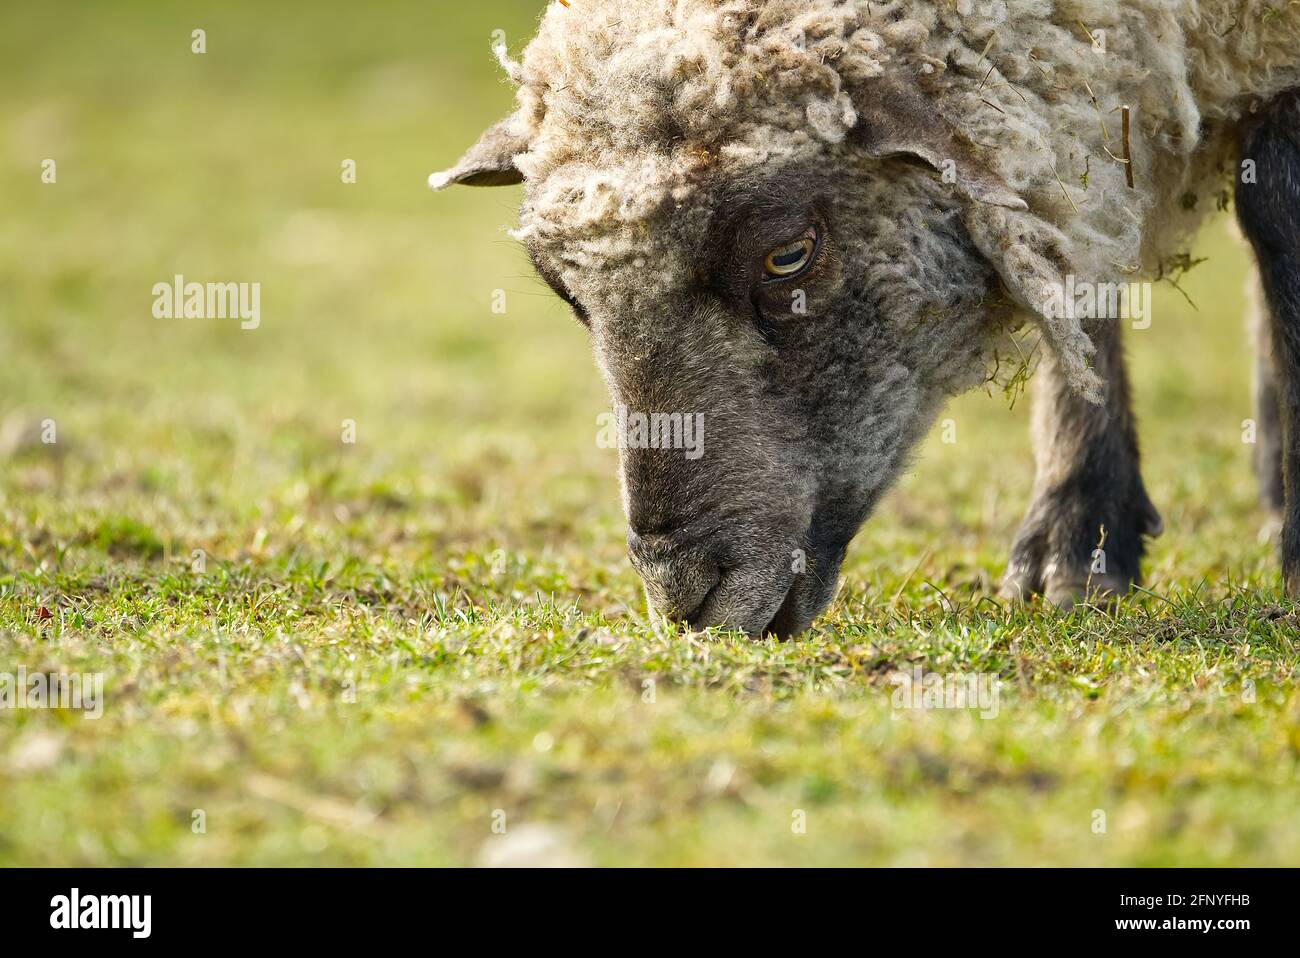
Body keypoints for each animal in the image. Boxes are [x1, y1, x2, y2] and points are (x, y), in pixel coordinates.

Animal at [432, 0, 1300, 635]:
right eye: (566, 293)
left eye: (788, 255)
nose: (684, 595)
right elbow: (1070, 256)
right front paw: (1078, 534)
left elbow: (1274, 206)